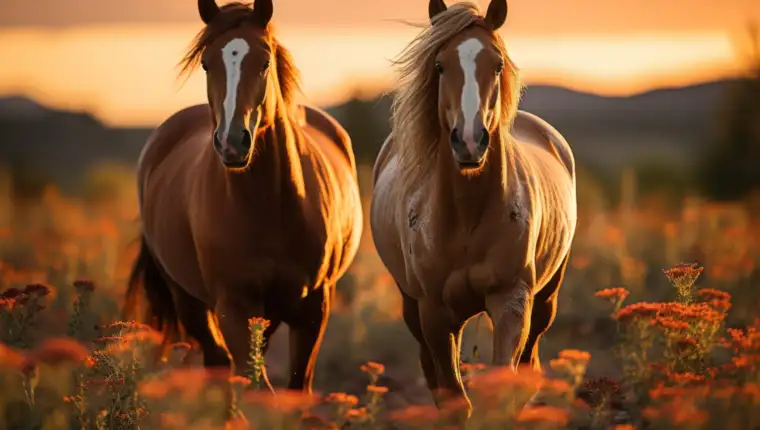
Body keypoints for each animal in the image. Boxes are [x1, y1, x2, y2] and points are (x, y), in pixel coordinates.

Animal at [124, 0, 363, 395]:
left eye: (264, 61)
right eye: (207, 63)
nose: (232, 142)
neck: (271, 208)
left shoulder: (314, 308)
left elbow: (296, 387)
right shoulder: (234, 308)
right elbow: (254, 383)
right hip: (189, 300)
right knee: (218, 363)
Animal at [370, 0, 577, 423]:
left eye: (496, 65)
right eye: (439, 65)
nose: (469, 141)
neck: (467, 217)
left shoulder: (512, 301)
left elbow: (503, 387)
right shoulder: (433, 312)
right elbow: (453, 399)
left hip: (546, 299)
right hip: (412, 306)